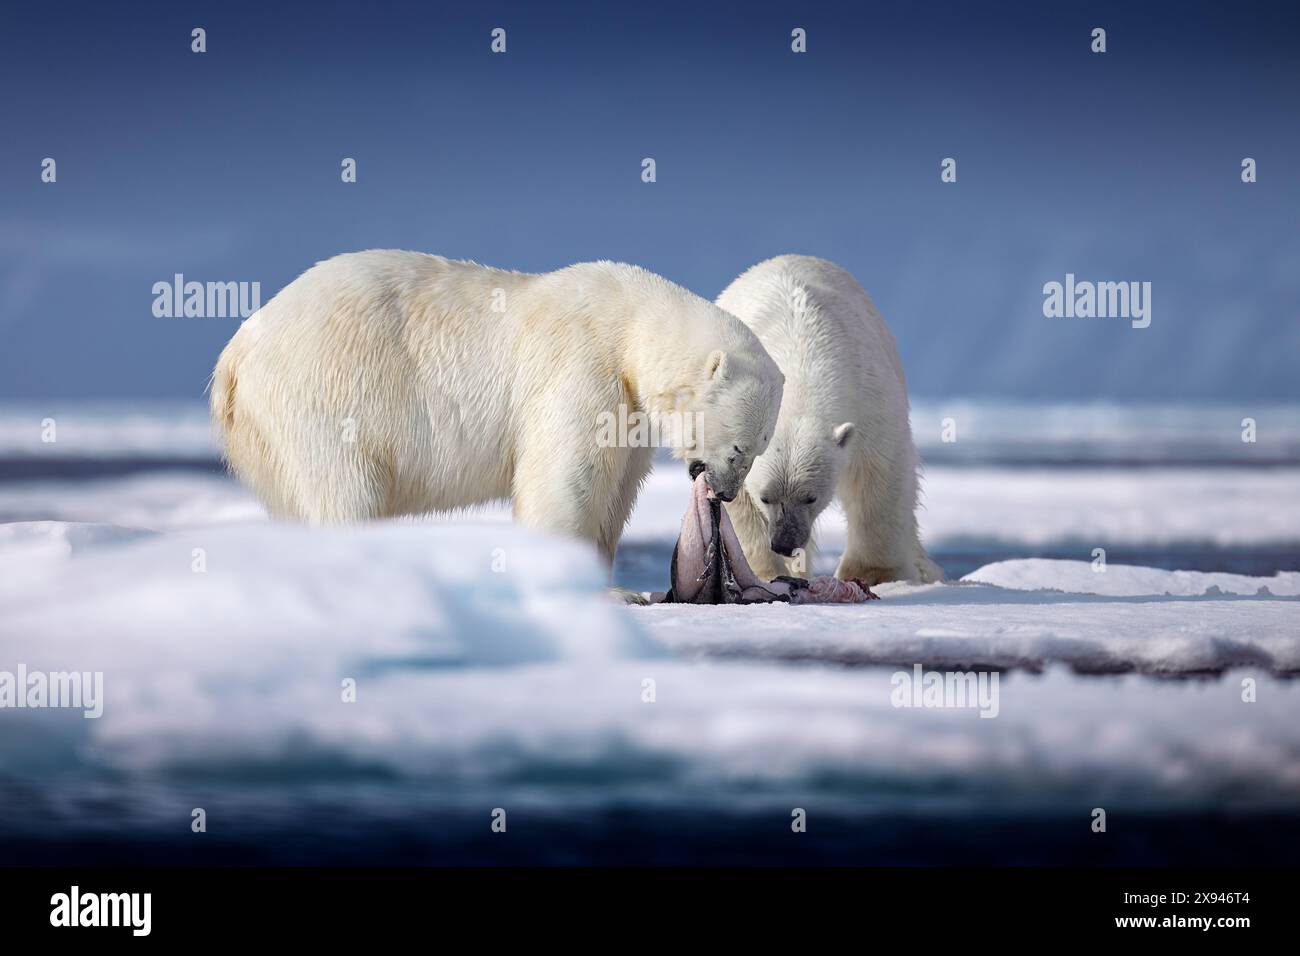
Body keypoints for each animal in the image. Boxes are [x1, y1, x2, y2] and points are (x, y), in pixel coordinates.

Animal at [210, 250, 784, 568]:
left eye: (758, 451)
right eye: (739, 447)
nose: (725, 492)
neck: (628, 324)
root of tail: (235, 355)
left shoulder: (631, 410)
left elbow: (616, 491)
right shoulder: (582, 366)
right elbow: (565, 478)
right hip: (330, 391)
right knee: (345, 485)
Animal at [714, 254, 942, 585]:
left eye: (810, 497)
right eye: (766, 497)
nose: (785, 542)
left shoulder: (869, 398)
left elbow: (879, 474)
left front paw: (872, 573)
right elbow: (734, 496)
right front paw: (766, 572)